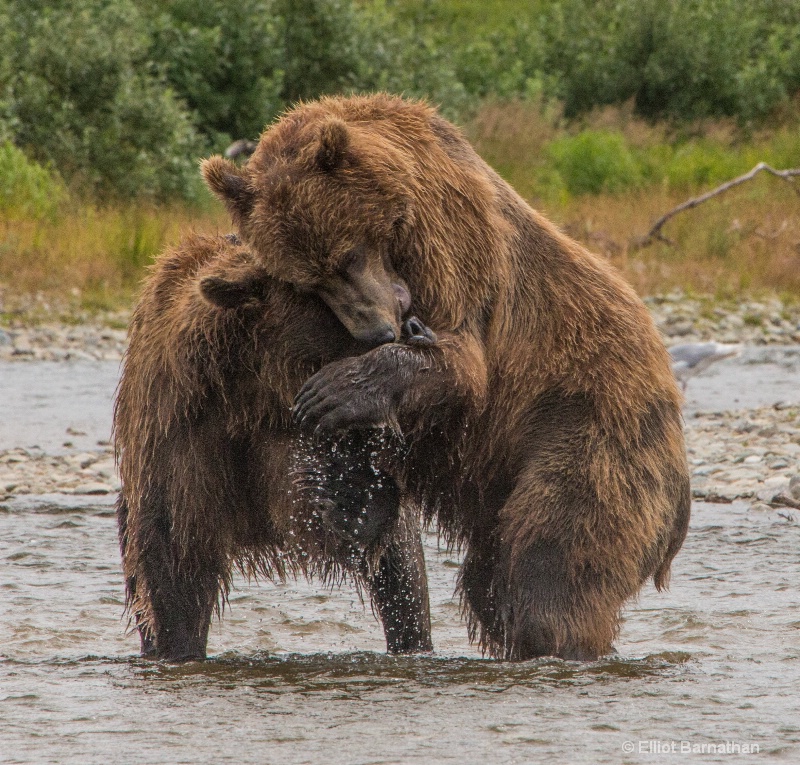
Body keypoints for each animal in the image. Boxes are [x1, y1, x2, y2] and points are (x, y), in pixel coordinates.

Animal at [113, 234, 434, 664]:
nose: (412, 326)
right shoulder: (184, 431)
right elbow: (176, 560)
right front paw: (179, 645)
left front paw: (360, 502)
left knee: (402, 582)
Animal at [202, 92, 692, 660]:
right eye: (308, 281)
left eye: (348, 256)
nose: (377, 328)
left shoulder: (451, 239)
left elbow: (461, 360)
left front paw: (332, 391)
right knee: (491, 584)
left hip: (591, 427)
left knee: (553, 559)